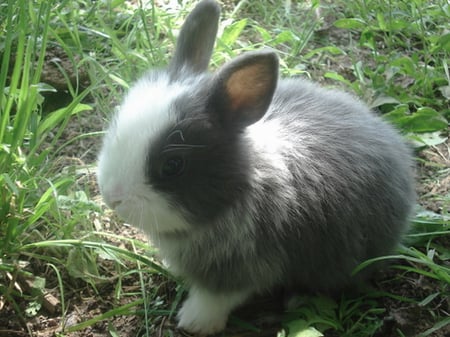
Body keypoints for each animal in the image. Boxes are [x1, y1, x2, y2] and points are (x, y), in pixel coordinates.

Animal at [97, 0, 414, 334]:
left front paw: (194, 322)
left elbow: (216, 297)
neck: (243, 185)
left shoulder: (245, 266)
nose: (111, 197)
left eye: (172, 165)